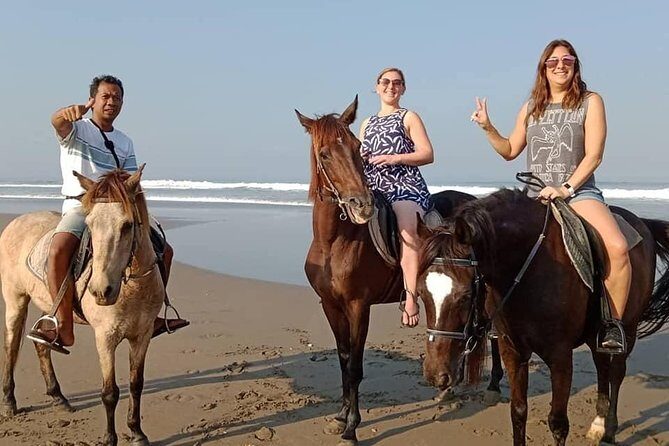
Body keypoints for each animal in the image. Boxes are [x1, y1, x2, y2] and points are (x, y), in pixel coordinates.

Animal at [0, 166, 164, 446]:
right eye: (90, 225)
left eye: (127, 225)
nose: (100, 290)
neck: (133, 288)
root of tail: (15, 222)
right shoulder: (105, 338)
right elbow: (110, 392)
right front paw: (109, 438)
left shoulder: (142, 335)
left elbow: (136, 384)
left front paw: (137, 432)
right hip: (15, 300)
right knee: (11, 347)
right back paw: (10, 401)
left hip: (50, 305)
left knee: (41, 343)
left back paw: (58, 397)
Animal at [295, 97, 483, 445]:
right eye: (325, 153)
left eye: (357, 148)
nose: (362, 204)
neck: (335, 241)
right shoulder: (331, 306)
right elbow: (343, 361)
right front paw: (340, 417)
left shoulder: (359, 307)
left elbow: (355, 367)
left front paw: (352, 428)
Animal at [417, 188, 669, 445]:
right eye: (420, 293)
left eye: (465, 296)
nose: (435, 374)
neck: (530, 268)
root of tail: (642, 224)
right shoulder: (513, 352)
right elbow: (518, 412)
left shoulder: (560, 357)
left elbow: (558, 422)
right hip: (594, 333)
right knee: (602, 366)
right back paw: (598, 424)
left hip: (628, 328)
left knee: (616, 372)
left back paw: (609, 429)